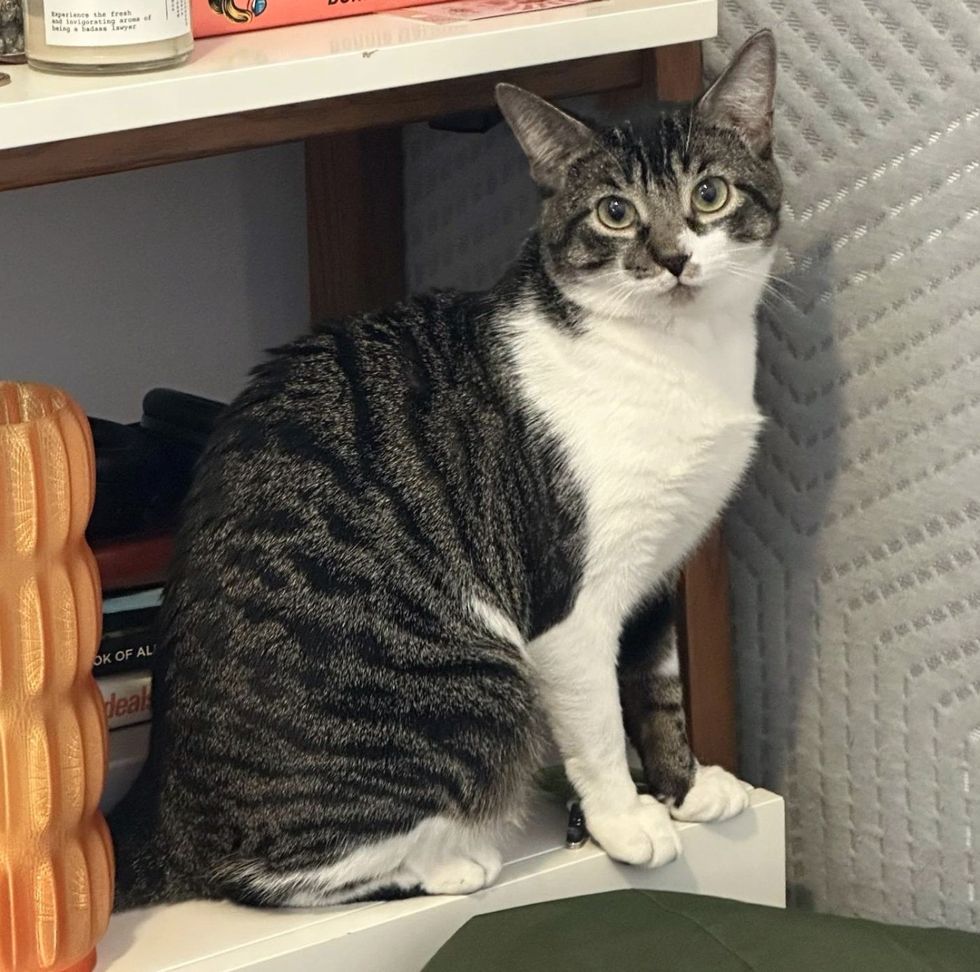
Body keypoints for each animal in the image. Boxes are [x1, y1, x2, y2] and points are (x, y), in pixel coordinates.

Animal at [109, 30, 780, 912]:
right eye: (615, 212)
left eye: (709, 194)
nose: (672, 258)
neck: (679, 357)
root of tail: (165, 811)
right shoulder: (571, 601)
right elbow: (600, 723)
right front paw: (626, 821)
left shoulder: (658, 568)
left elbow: (657, 687)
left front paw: (687, 788)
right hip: (484, 679)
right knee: (266, 874)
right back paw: (448, 862)